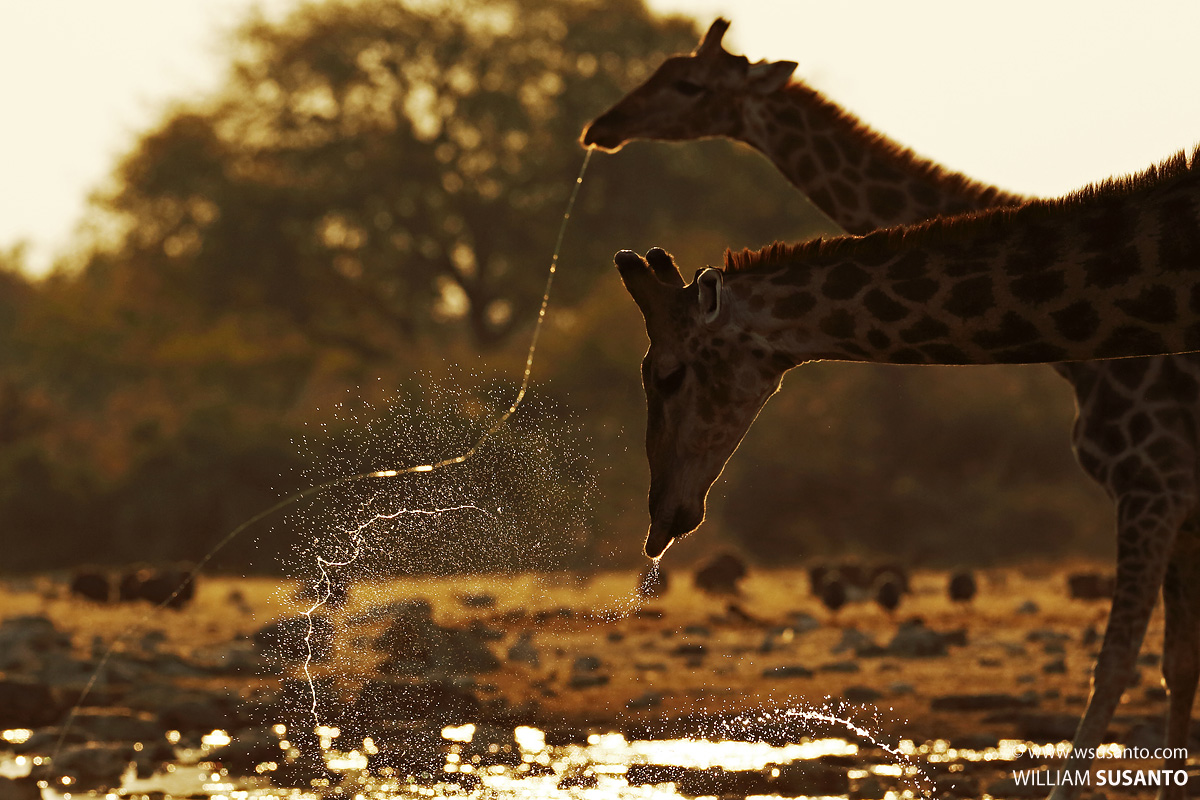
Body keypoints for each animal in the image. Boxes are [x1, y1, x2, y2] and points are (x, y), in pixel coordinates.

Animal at [585, 20, 1200, 797]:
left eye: (666, 373)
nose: (600, 128)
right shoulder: (1176, 498)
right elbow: (1177, 665)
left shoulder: (1153, 481)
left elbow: (1117, 665)